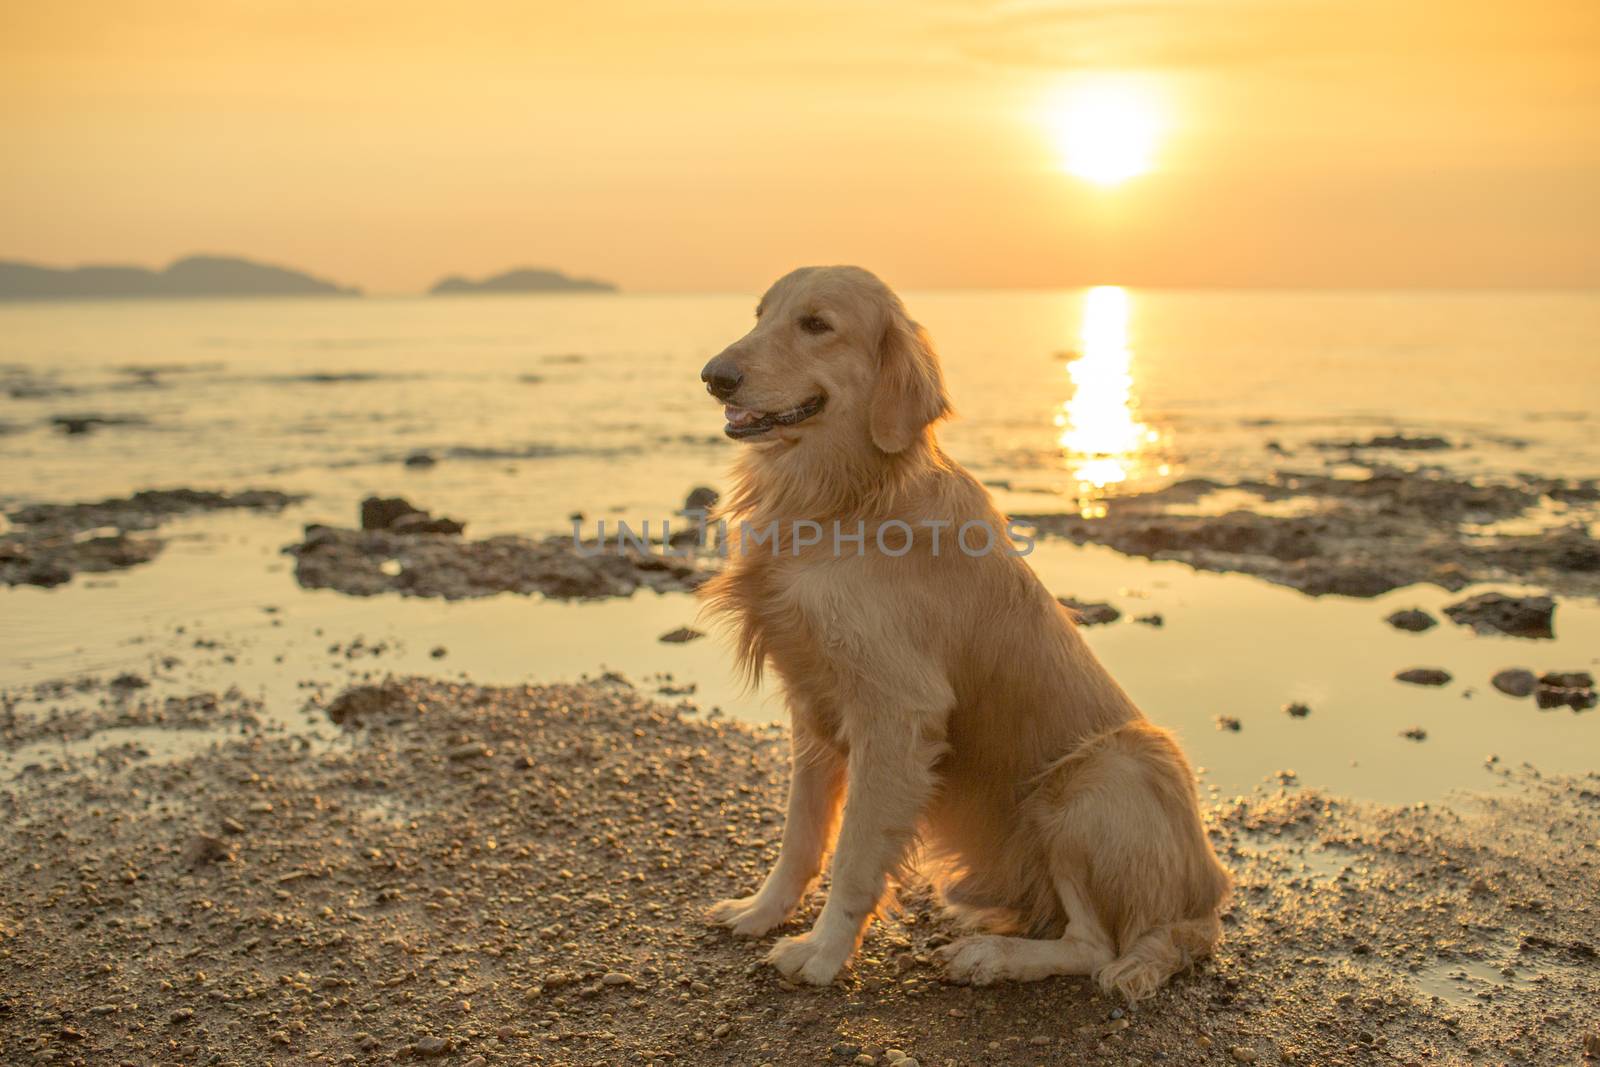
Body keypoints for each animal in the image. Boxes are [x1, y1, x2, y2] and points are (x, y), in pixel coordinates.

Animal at [694, 267, 1228, 1004]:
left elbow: (855, 852)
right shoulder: (813, 701)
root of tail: (1204, 906)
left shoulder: (896, 711)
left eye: (816, 324)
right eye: (760, 315)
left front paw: (825, 952)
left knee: (1095, 947)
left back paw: (991, 956)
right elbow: (801, 834)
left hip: (1095, 778)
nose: (714, 376)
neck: (842, 499)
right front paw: (762, 910)